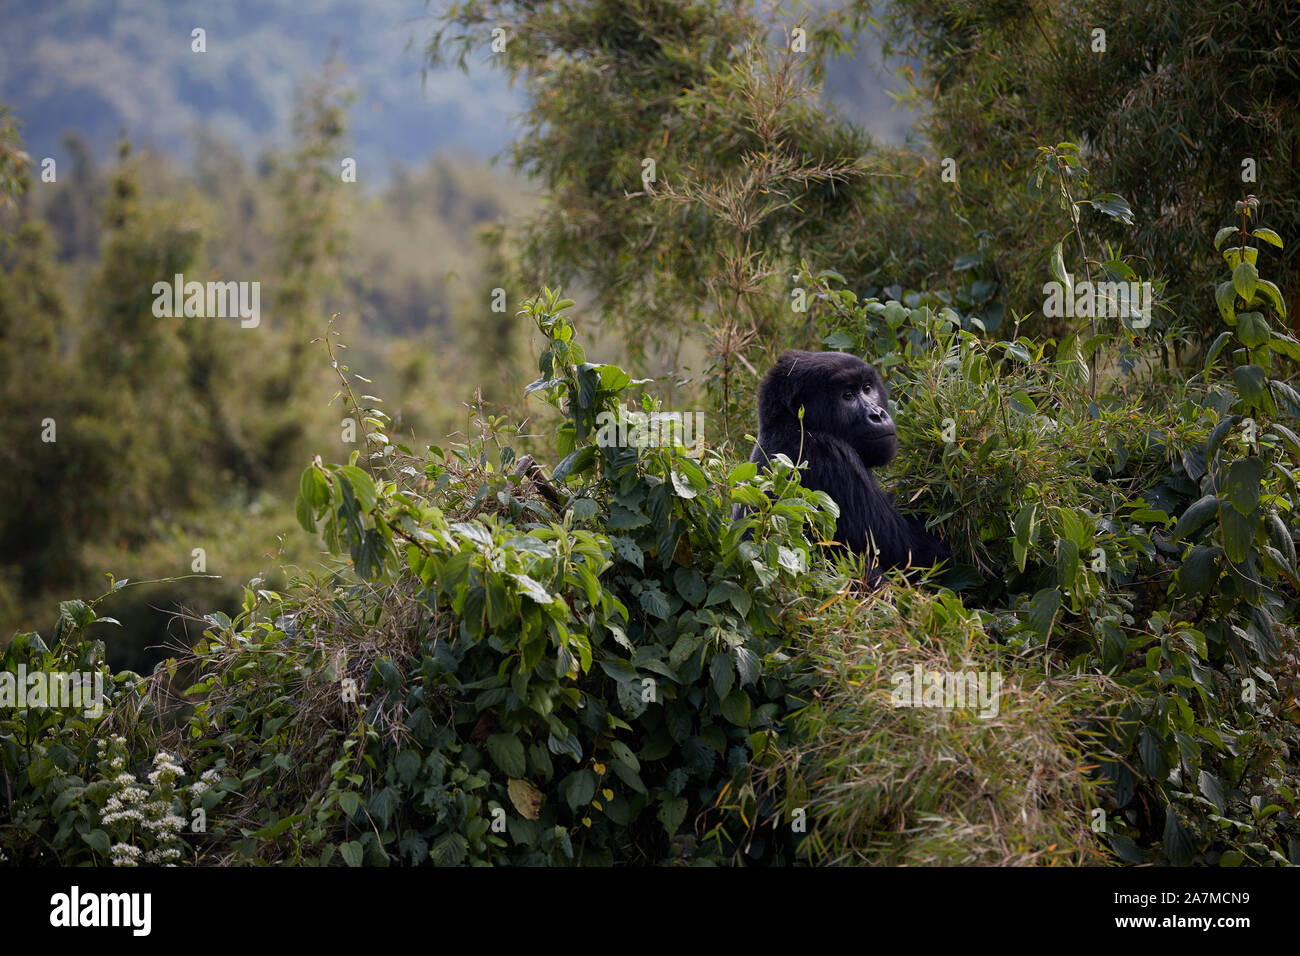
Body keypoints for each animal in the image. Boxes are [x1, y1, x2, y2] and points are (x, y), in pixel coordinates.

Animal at [738, 351, 951, 574]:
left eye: (867, 388)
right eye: (847, 396)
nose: (877, 415)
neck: (790, 422)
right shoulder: (831, 455)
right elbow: (919, 554)